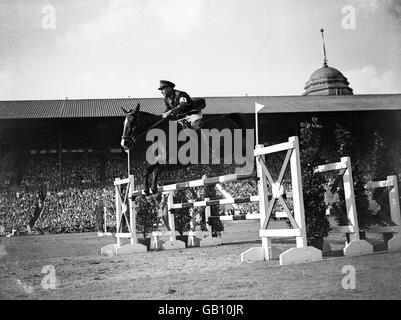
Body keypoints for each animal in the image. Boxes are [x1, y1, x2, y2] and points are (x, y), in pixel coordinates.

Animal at [119, 100, 247, 195]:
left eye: (133, 122)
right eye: (124, 123)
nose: (124, 143)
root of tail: (228, 118)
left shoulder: (176, 162)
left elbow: (157, 170)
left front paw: (154, 189)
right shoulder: (160, 160)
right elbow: (147, 169)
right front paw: (146, 190)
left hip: (234, 146)